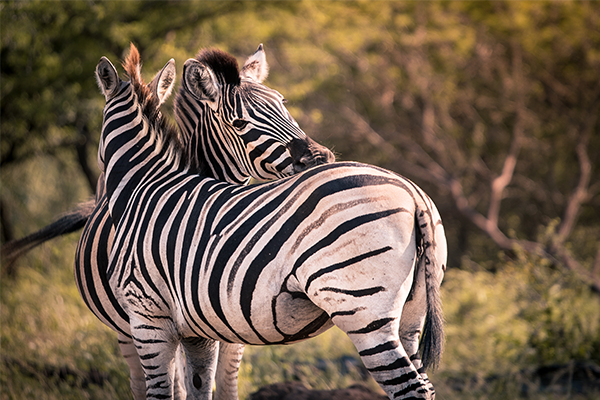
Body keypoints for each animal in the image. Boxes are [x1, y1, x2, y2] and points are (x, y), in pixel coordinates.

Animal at [1, 44, 332, 400]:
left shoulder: (232, 323)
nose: (319, 158)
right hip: (128, 328)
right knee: (147, 379)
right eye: (239, 123)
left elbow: (225, 383)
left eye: (283, 104)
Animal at [96, 45, 446, 398]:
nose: (319, 158)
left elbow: (161, 392)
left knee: (410, 387)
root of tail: (413, 193)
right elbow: (198, 387)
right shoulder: (198, 330)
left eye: (283, 103)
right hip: (410, 316)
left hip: (363, 312)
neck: (146, 182)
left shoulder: (148, 318)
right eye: (238, 122)